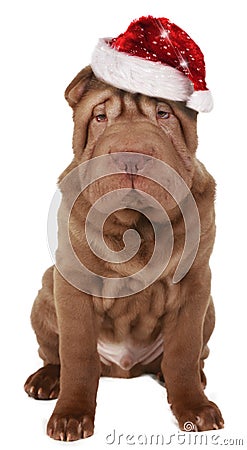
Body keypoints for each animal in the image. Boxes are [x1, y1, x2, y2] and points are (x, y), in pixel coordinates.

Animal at [24, 15, 224, 442]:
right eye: (100, 118)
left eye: (164, 115)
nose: (131, 155)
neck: (137, 226)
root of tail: (124, 368)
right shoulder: (71, 284)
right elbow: (78, 355)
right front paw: (70, 416)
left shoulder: (195, 283)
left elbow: (183, 352)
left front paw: (195, 408)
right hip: (46, 289)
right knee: (56, 354)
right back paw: (47, 380)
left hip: (210, 307)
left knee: (189, 357)